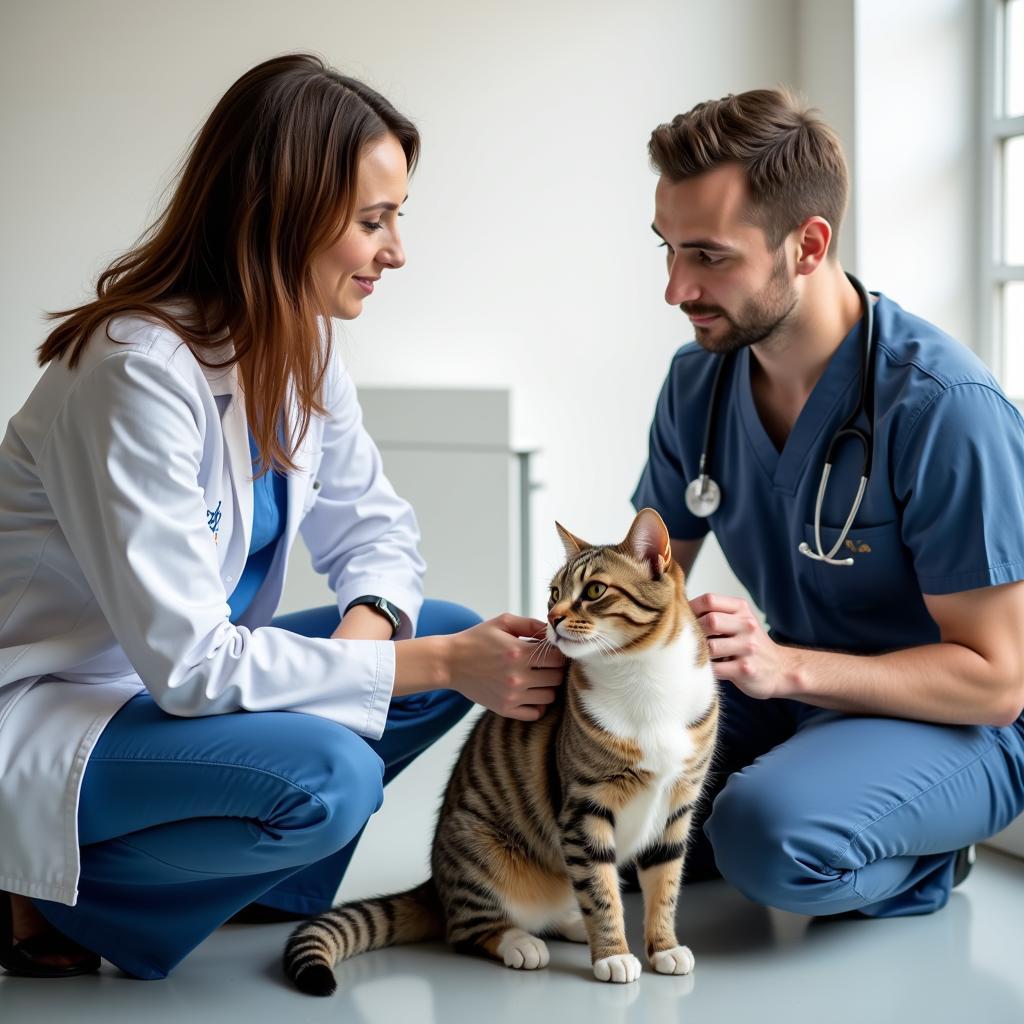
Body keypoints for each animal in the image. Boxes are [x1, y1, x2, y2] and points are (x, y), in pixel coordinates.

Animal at [282, 507, 720, 995]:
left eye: (594, 590)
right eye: (554, 593)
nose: (552, 617)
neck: (645, 679)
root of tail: (435, 883)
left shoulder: (677, 807)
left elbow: (664, 887)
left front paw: (664, 947)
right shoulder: (584, 810)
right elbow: (602, 891)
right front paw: (613, 954)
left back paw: (570, 923)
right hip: (482, 853)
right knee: (467, 929)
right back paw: (521, 942)